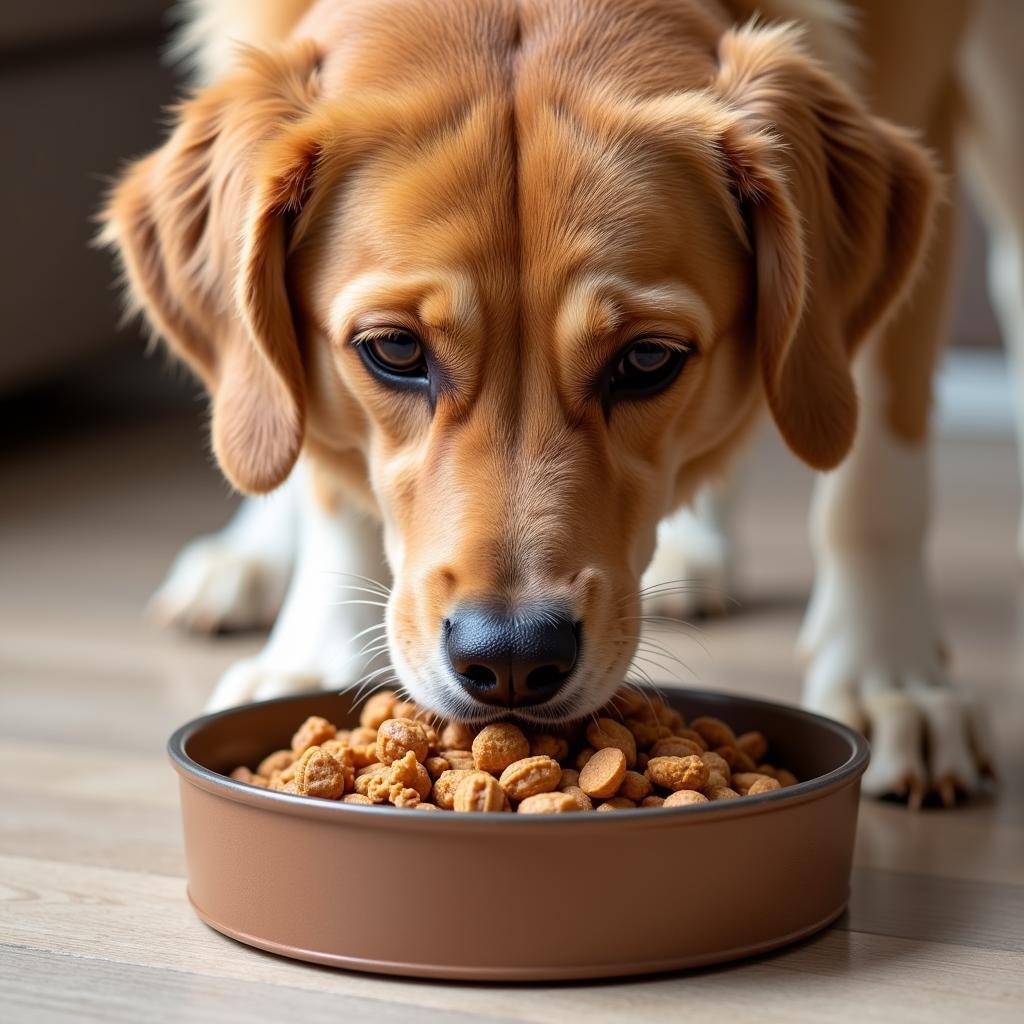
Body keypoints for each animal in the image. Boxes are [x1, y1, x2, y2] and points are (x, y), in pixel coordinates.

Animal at [101, 0, 1015, 802]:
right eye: (394, 350)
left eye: (647, 359)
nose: (510, 658)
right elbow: (324, 477)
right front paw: (316, 653)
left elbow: (874, 483)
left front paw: (888, 676)